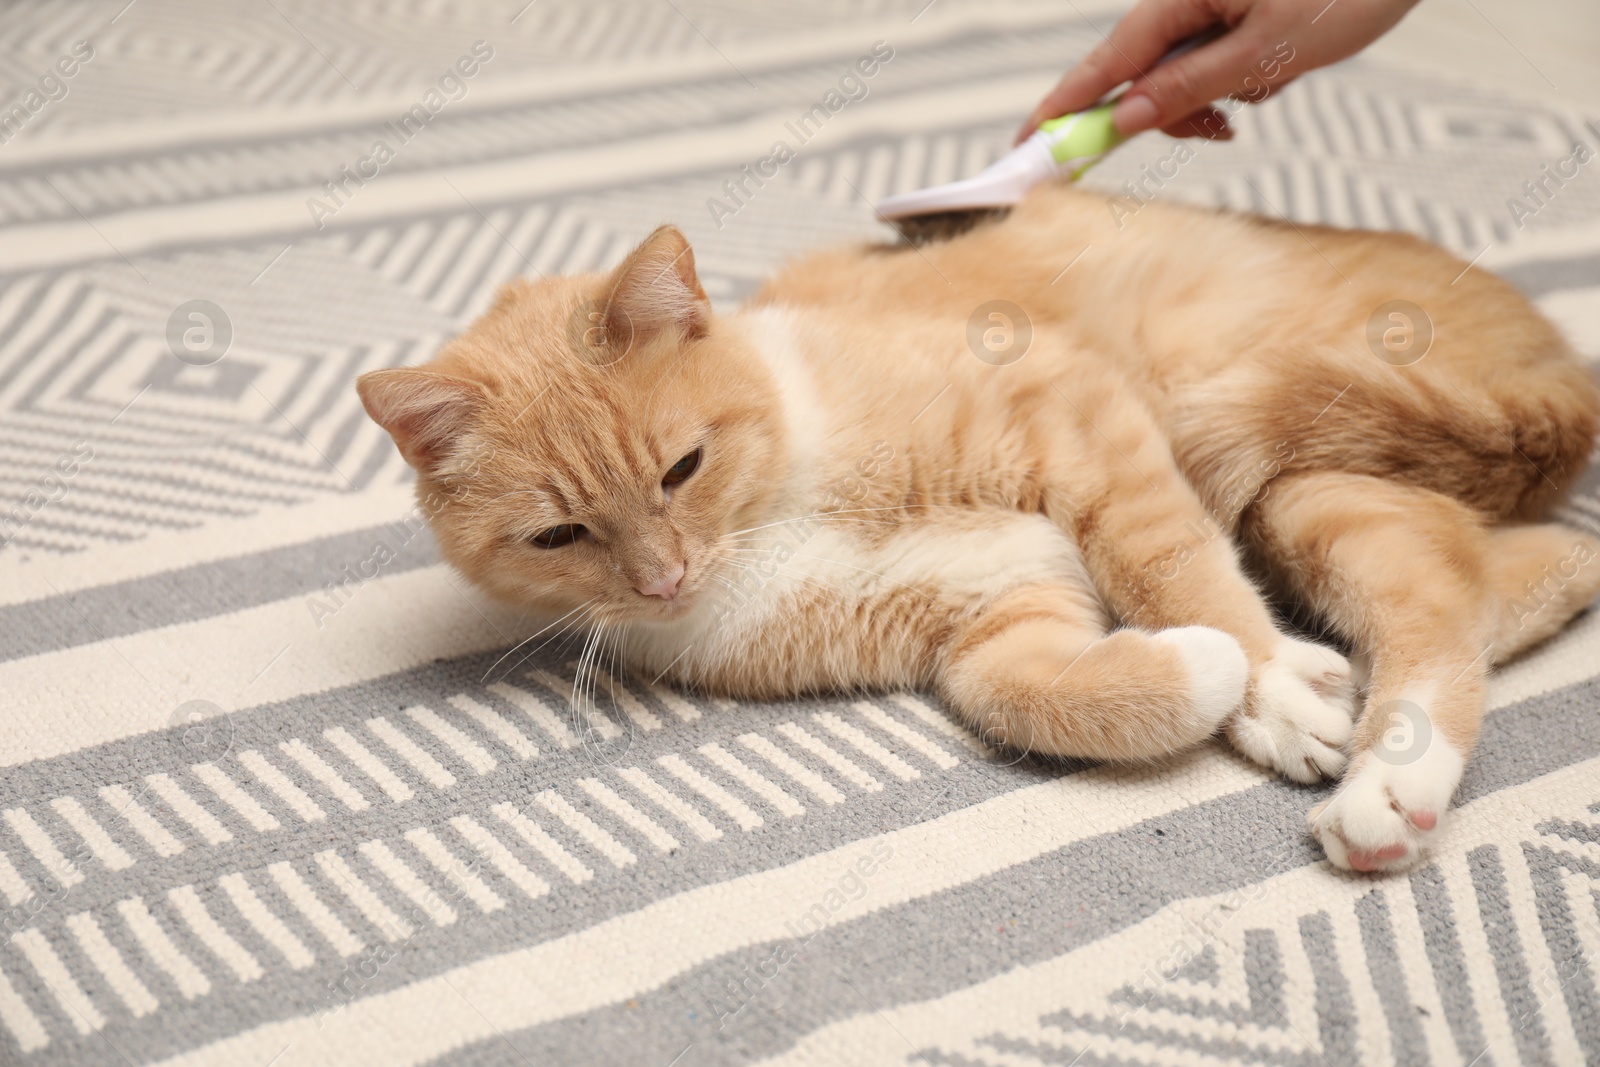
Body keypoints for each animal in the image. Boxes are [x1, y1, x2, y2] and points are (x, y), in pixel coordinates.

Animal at [363, 183, 1600, 876]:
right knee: (1525, 571)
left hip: (1270, 441)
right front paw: (1204, 673)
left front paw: (1265, 681)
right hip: (1312, 487)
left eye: (682, 467)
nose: (663, 581)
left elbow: (1168, 560)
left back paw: (1385, 788)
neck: (777, 509)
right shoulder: (997, 614)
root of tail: (1559, 360)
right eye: (558, 536)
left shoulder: (1074, 414)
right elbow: (1034, 692)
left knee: (1435, 601)